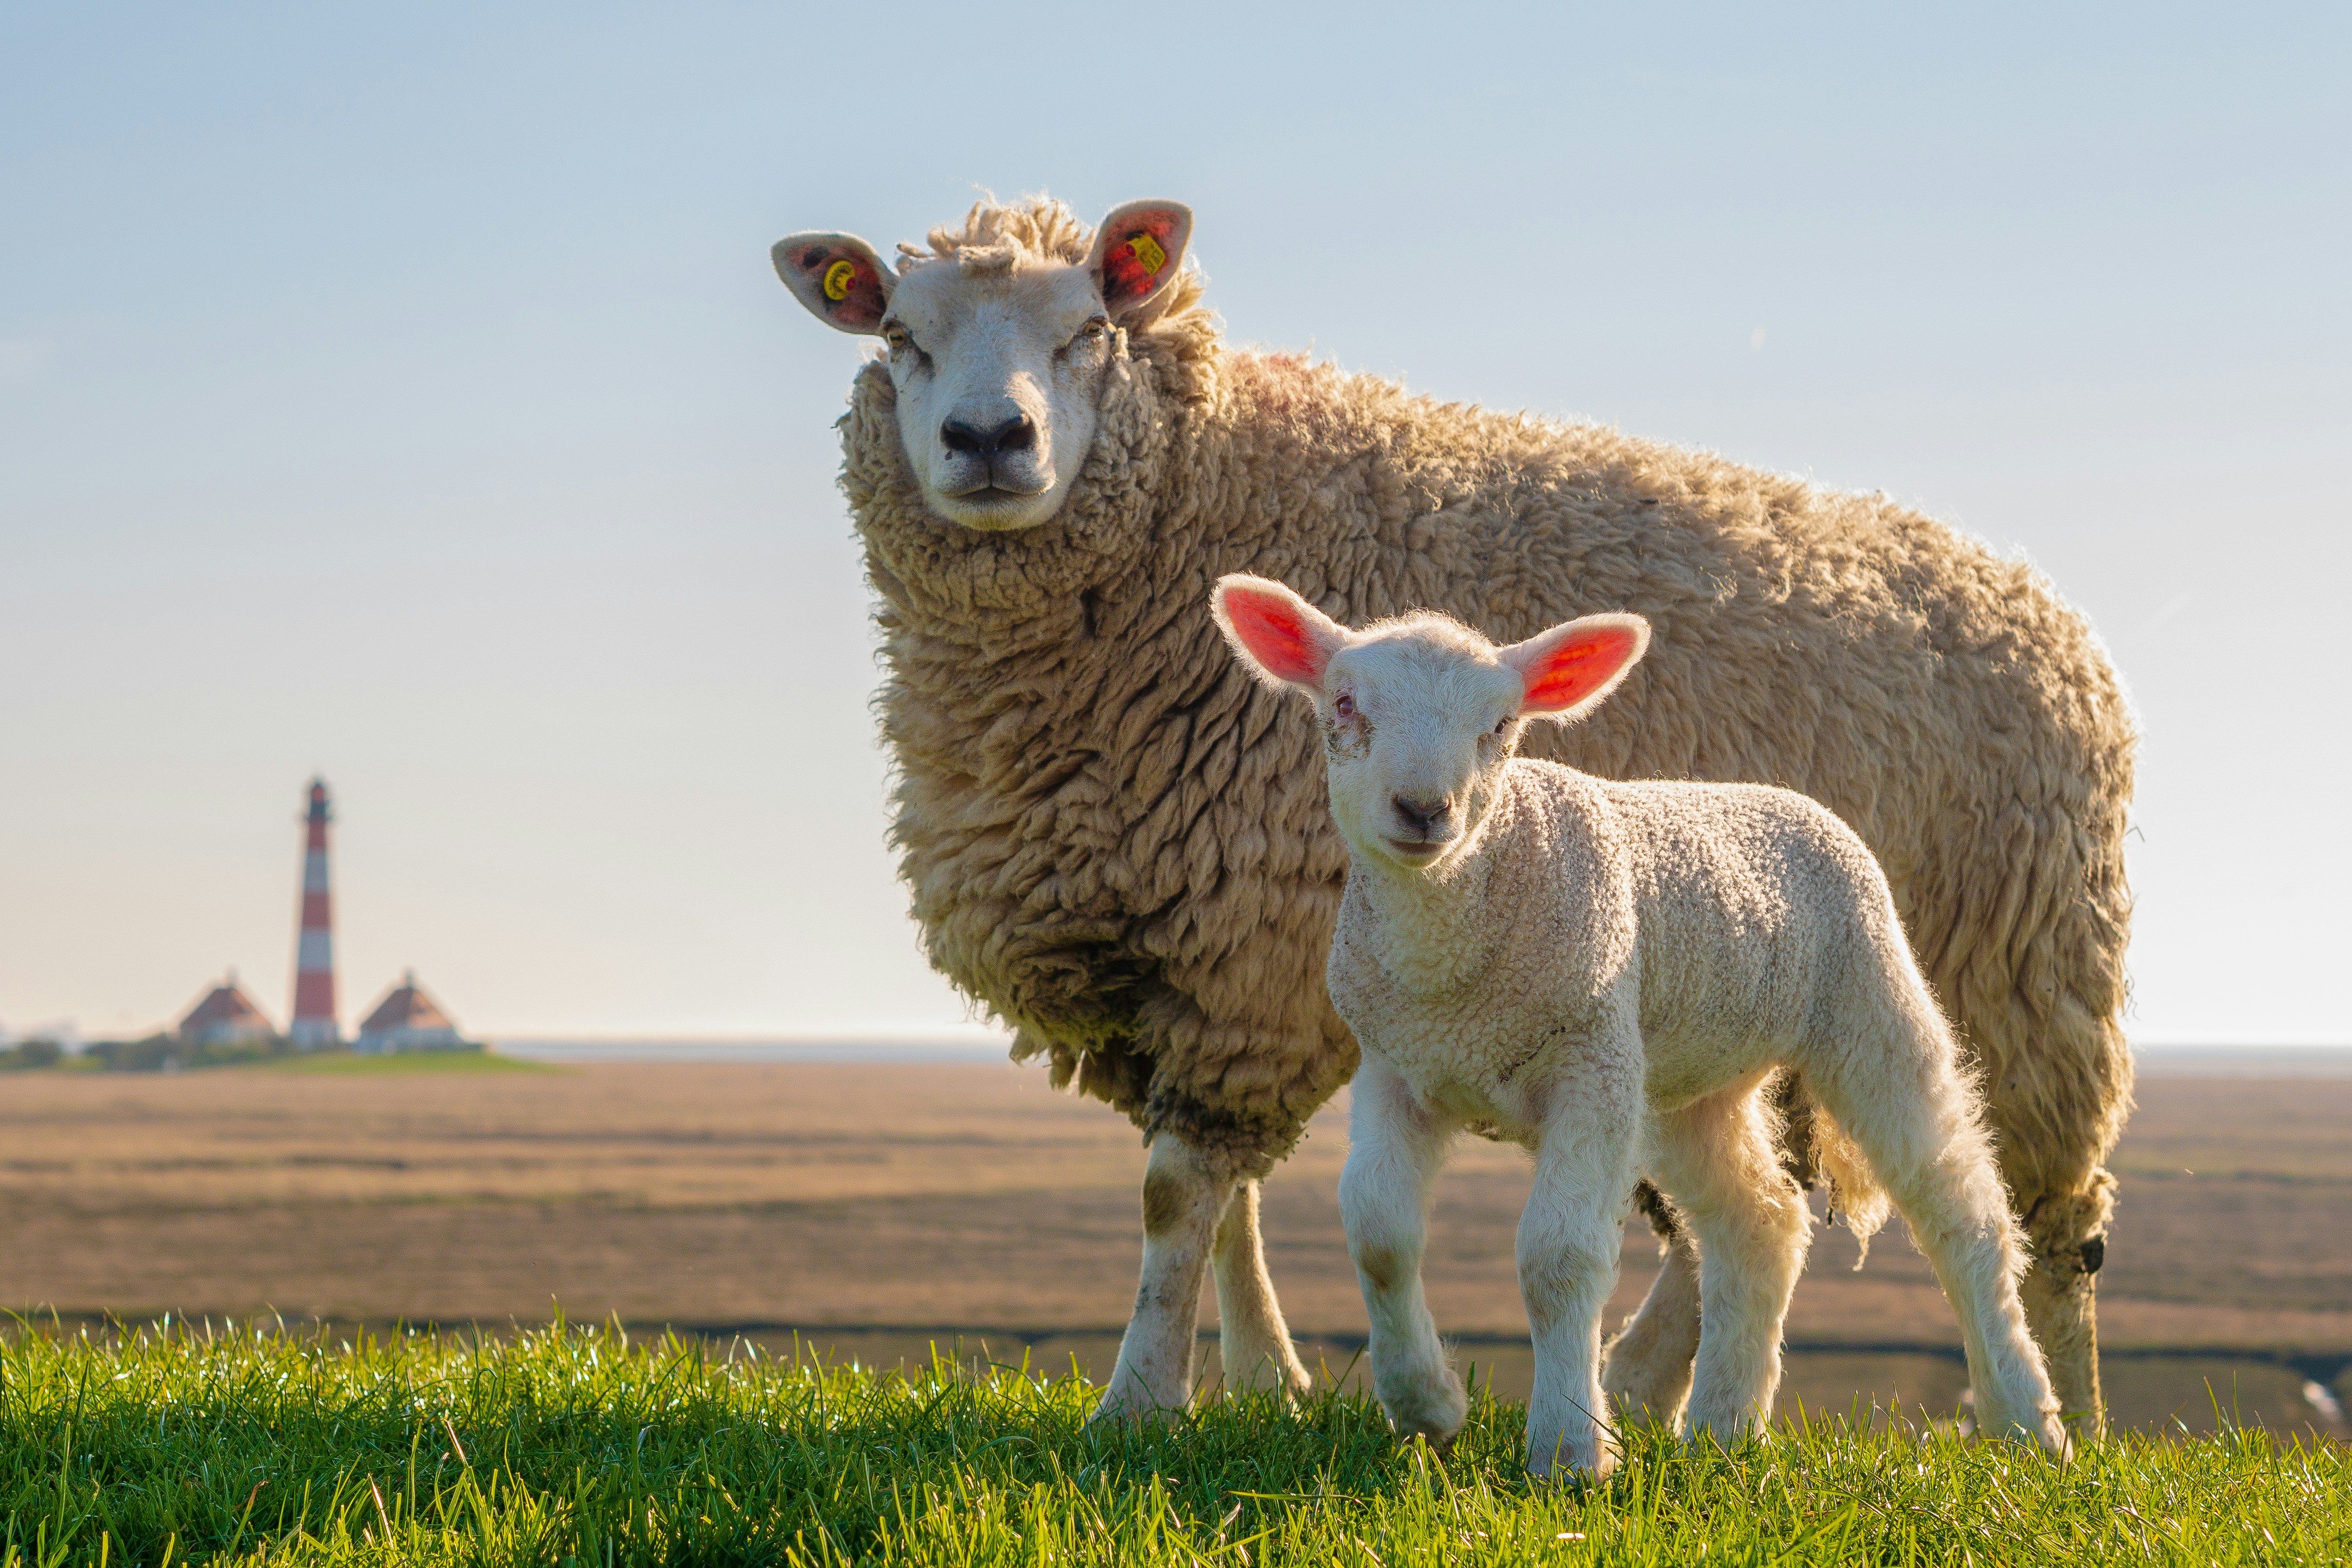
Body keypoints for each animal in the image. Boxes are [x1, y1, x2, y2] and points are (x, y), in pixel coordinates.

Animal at [1209, 573, 2067, 1475]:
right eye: (1344, 704)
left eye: (1499, 726)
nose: (1422, 809)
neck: (1453, 974)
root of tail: (1777, 796)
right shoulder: (1396, 1067)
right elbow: (1379, 1236)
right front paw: (1426, 1405)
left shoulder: (1589, 1060)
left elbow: (1558, 1258)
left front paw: (1567, 1449)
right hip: (1684, 1081)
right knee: (1761, 1219)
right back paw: (1725, 1427)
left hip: (1868, 996)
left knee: (1958, 1207)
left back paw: (2027, 1421)